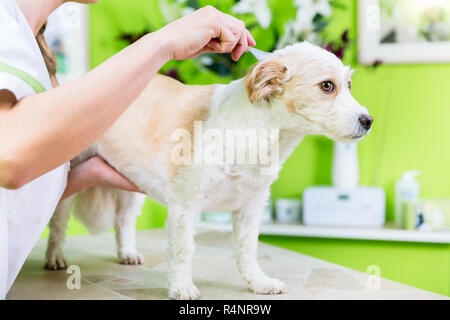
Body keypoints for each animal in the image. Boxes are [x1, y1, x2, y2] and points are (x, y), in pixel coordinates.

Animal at [44, 42, 372, 300]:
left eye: (349, 85)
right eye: (327, 86)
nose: (368, 121)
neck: (256, 134)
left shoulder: (250, 206)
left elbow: (247, 250)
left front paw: (257, 282)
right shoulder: (185, 205)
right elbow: (182, 251)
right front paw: (181, 287)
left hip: (129, 184)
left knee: (123, 220)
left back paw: (127, 252)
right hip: (69, 179)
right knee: (58, 224)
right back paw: (54, 257)